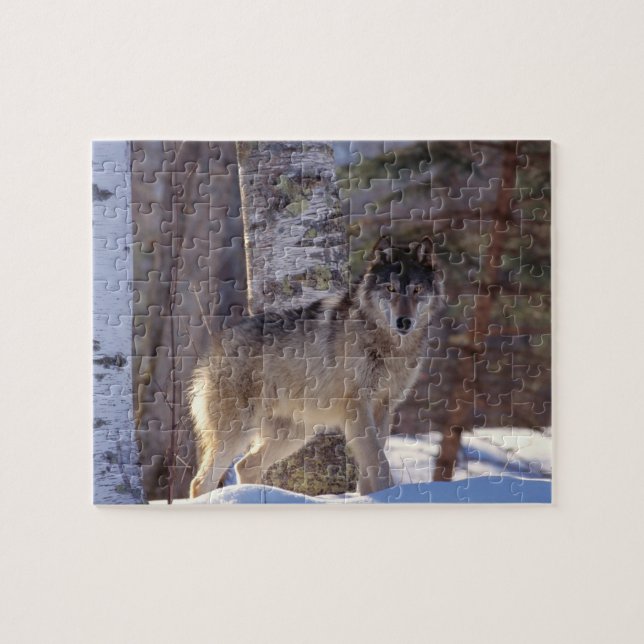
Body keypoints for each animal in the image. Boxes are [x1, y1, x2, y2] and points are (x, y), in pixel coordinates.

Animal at [188, 235, 444, 498]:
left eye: (417, 290)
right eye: (390, 289)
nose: (404, 322)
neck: (390, 347)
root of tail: (216, 347)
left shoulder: (384, 406)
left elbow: (371, 464)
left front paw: (370, 498)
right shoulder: (358, 406)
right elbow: (378, 461)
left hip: (295, 434)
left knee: (244, 466)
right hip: (238, 432)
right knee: (200, 482)